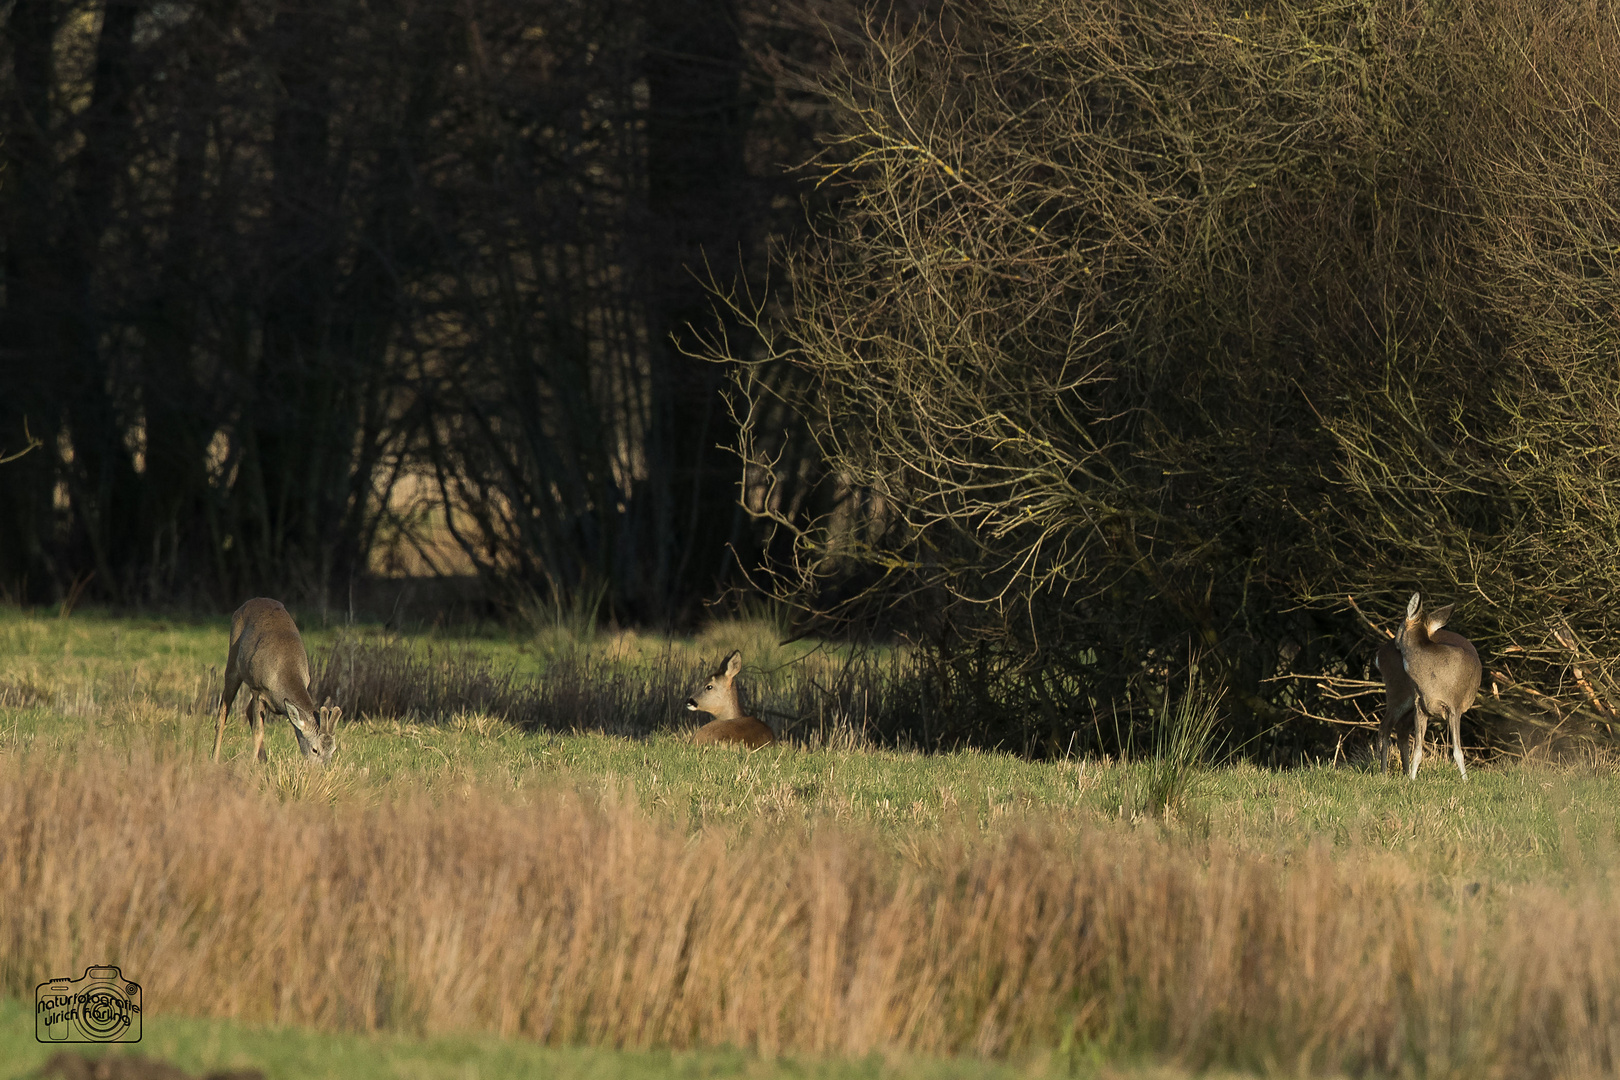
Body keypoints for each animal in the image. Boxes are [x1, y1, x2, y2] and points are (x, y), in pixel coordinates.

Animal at [212, 599, 338, 767]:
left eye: (333, 750)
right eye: (315, 749)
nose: (325, 768)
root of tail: (249, 602)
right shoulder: (258, 689)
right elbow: (258, 732)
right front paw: (250, 765)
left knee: (246, 710)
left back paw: (264, 760)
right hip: (233, 663)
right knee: (222, 714)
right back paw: (214, 758)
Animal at [1393, 592, 1483, 777]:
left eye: (1399, 626)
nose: (1394, 642)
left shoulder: (1455, 707)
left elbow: (1458, 752)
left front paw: (1465, 780)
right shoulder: (1419, 706)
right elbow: (1418, 751)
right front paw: (1411, 779)